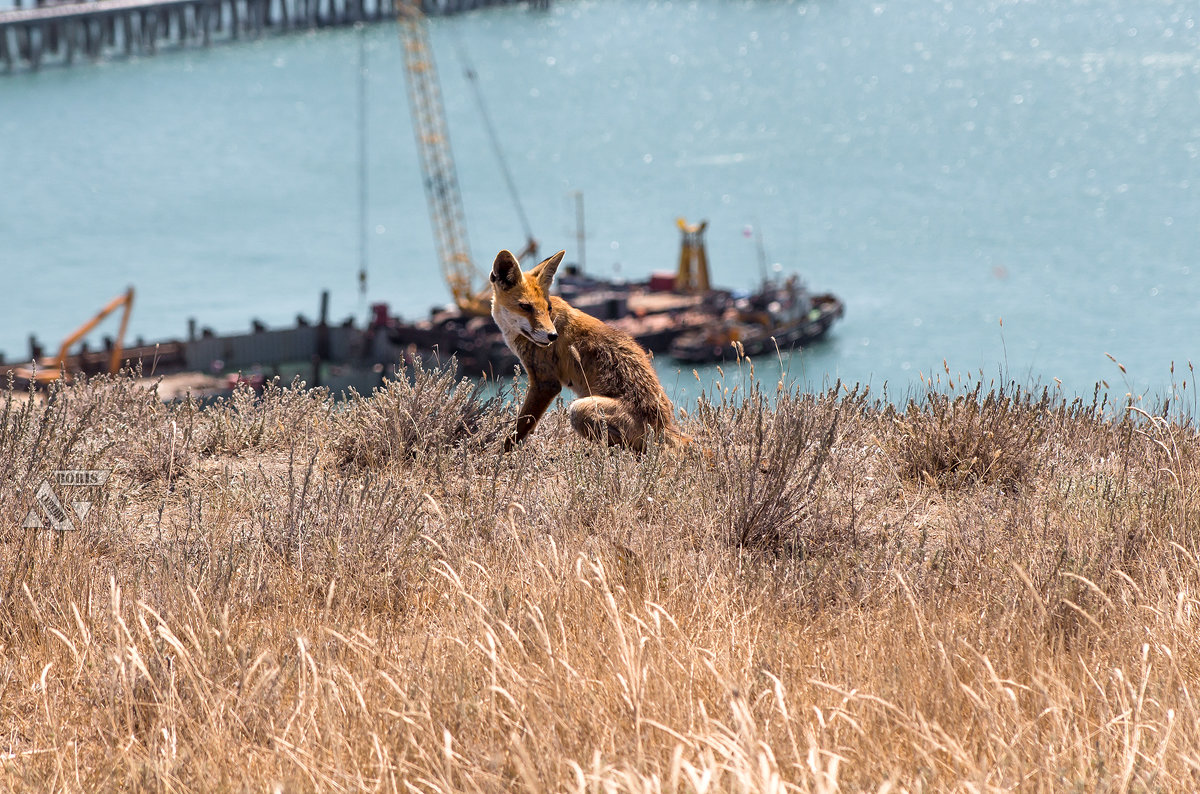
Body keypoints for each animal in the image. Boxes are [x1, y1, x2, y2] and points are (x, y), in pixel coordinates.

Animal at [492, 251, 691, 458]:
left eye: (547, 308)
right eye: (525, 307)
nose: (552, 336)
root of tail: (665, 425)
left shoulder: (545, 384)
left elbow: (519, 429)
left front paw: (502, 455)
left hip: (579, 410)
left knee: (637, 449)